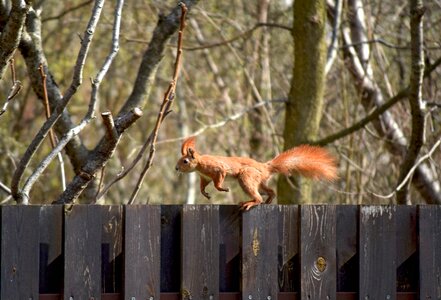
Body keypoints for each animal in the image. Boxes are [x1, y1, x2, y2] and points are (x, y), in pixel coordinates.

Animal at [175, 137, 336, 210]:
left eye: (185, 161)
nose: (176, 168)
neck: (199, 165)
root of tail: (264, 168)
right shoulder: (205, 177)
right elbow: (203, 185)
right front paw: (205, 193)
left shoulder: (218, 169)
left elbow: (218, 180)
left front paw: (223, 188)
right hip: (259, 182)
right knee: (269, 191)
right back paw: (268, 200)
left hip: (246, 177)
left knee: (257, 197)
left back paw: (250, 203)